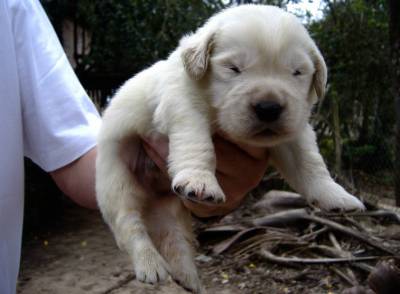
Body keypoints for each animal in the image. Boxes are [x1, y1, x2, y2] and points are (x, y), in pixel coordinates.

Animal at [96, 4, 366, 292]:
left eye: (297, 72)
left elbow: (310, 163)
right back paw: (151, 265)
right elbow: (197, 140)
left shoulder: (297, 131)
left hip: (170, 210)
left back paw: (189, 278)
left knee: (175, 240)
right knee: (130, 227)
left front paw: (336, 196)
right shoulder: (183, 105)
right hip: (116, 183)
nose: (268, 108)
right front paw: (200, 181)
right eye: (234, 68)